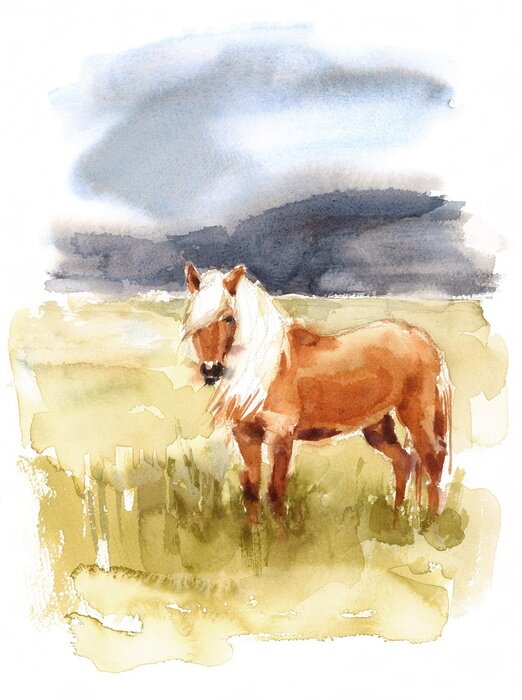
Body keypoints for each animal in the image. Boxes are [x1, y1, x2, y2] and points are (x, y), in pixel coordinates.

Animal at [181, 263, 451, 524]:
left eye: (228, 318)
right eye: (192, 318)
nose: (211, 369)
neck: (268, 366)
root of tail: (421, 338)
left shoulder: (281, 435)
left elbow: (276, 491)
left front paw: (281, 535)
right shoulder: (246, 435)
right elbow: (251, 488)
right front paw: (254, 534)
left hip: (418, 416)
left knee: (433, 459)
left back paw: (431, 524)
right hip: (377, 426)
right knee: (403, 462)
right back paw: (396, 521)